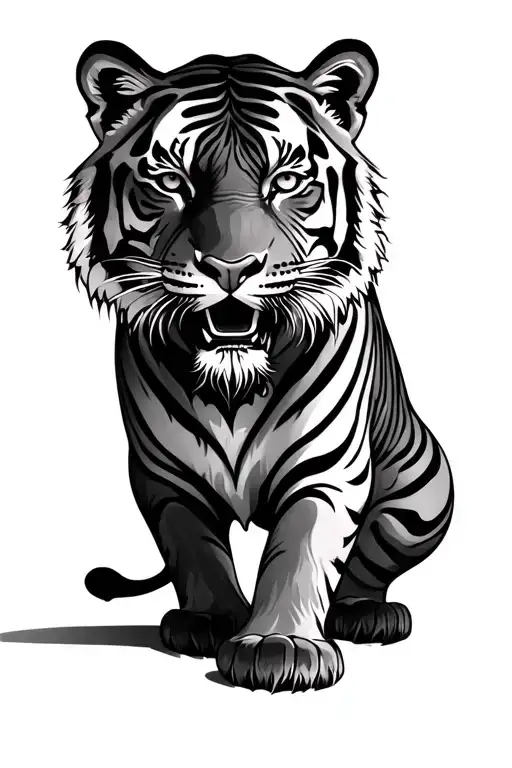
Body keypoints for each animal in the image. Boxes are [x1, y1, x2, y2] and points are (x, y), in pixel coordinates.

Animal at [64, 38, 454, 693]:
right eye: (171, 180)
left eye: (287, 180)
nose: (230, 267)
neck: (233, 385)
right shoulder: (166, 477)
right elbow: (193, 547)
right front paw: (212, 620)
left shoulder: (328, 468)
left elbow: (302, 548)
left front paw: (280, 645)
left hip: (423, 496)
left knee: (369, 561)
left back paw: (364, 612)